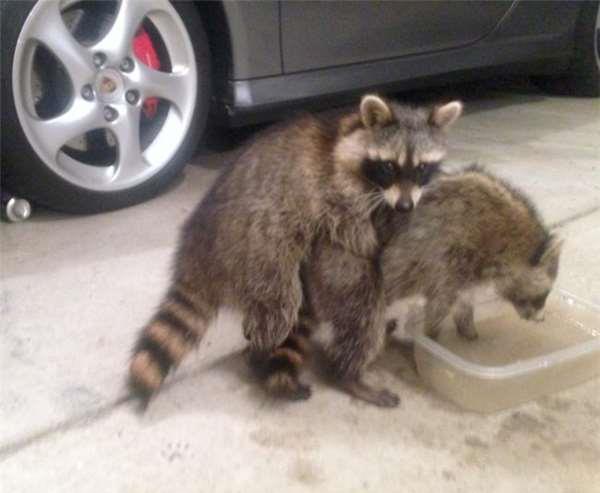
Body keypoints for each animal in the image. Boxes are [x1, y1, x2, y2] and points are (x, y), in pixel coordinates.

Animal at [129, 93, 462, 404]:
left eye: (422, 168)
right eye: (389, 166)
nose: (405, 206)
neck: (346, 138)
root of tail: (198, 254)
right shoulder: (336, 191)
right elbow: (350, 230)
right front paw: (373, 239)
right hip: (257, 247)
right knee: (280, 304)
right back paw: (266, 351)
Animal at [384, 167, 564, 340]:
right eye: (545, 293)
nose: (541, 319)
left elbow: (464, 296)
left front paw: (466, 326)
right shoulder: (444, 253)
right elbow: (440, 301)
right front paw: (431, 334)